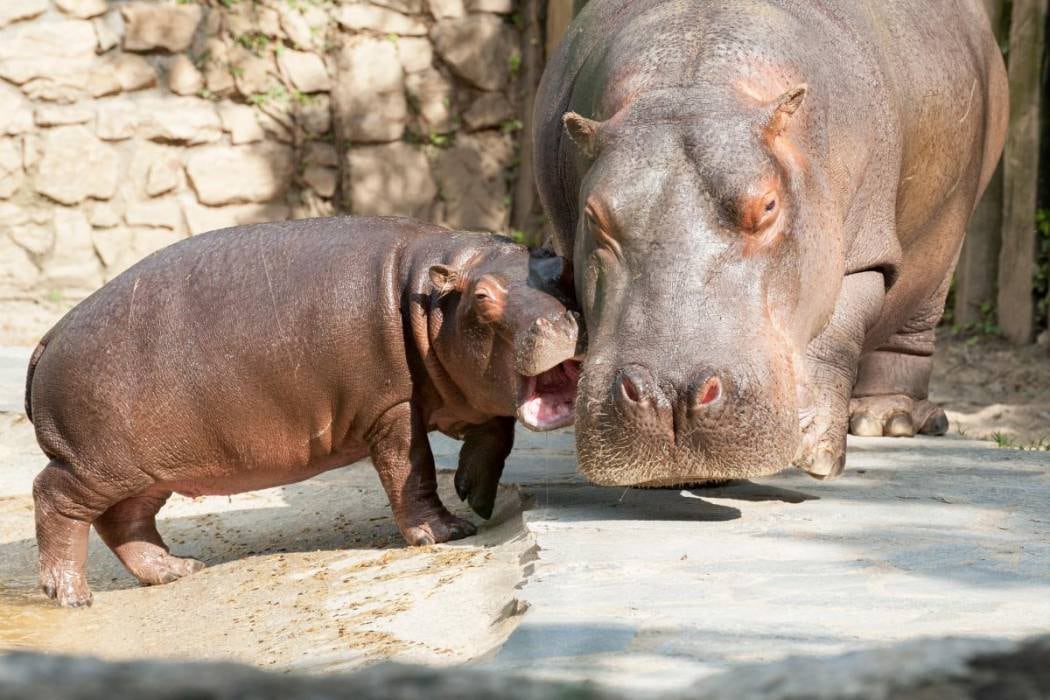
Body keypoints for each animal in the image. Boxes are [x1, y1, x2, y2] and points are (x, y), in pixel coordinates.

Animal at [26, 215, 583, 608]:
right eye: (484, 297)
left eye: (561, 271)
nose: (561, 323)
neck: (431, 296)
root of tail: (49, 335)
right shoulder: (393, 406)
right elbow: (412, 467)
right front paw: (446, 532)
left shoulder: (464, 392)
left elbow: (499, 430)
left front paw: (477, 496)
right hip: (94, 463)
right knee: (54, 499)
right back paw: (72, 596)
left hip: (148, 469)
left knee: (125, 522)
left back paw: (177, 569)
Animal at [537, 0, 1012, 484]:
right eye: (594, 214)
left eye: (767, 204)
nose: (669, 393)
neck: (695, 84)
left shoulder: (861, 260)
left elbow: (835, 338)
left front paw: (815, 451)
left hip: (947, 233)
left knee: (914, 322)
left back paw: (884, 419)